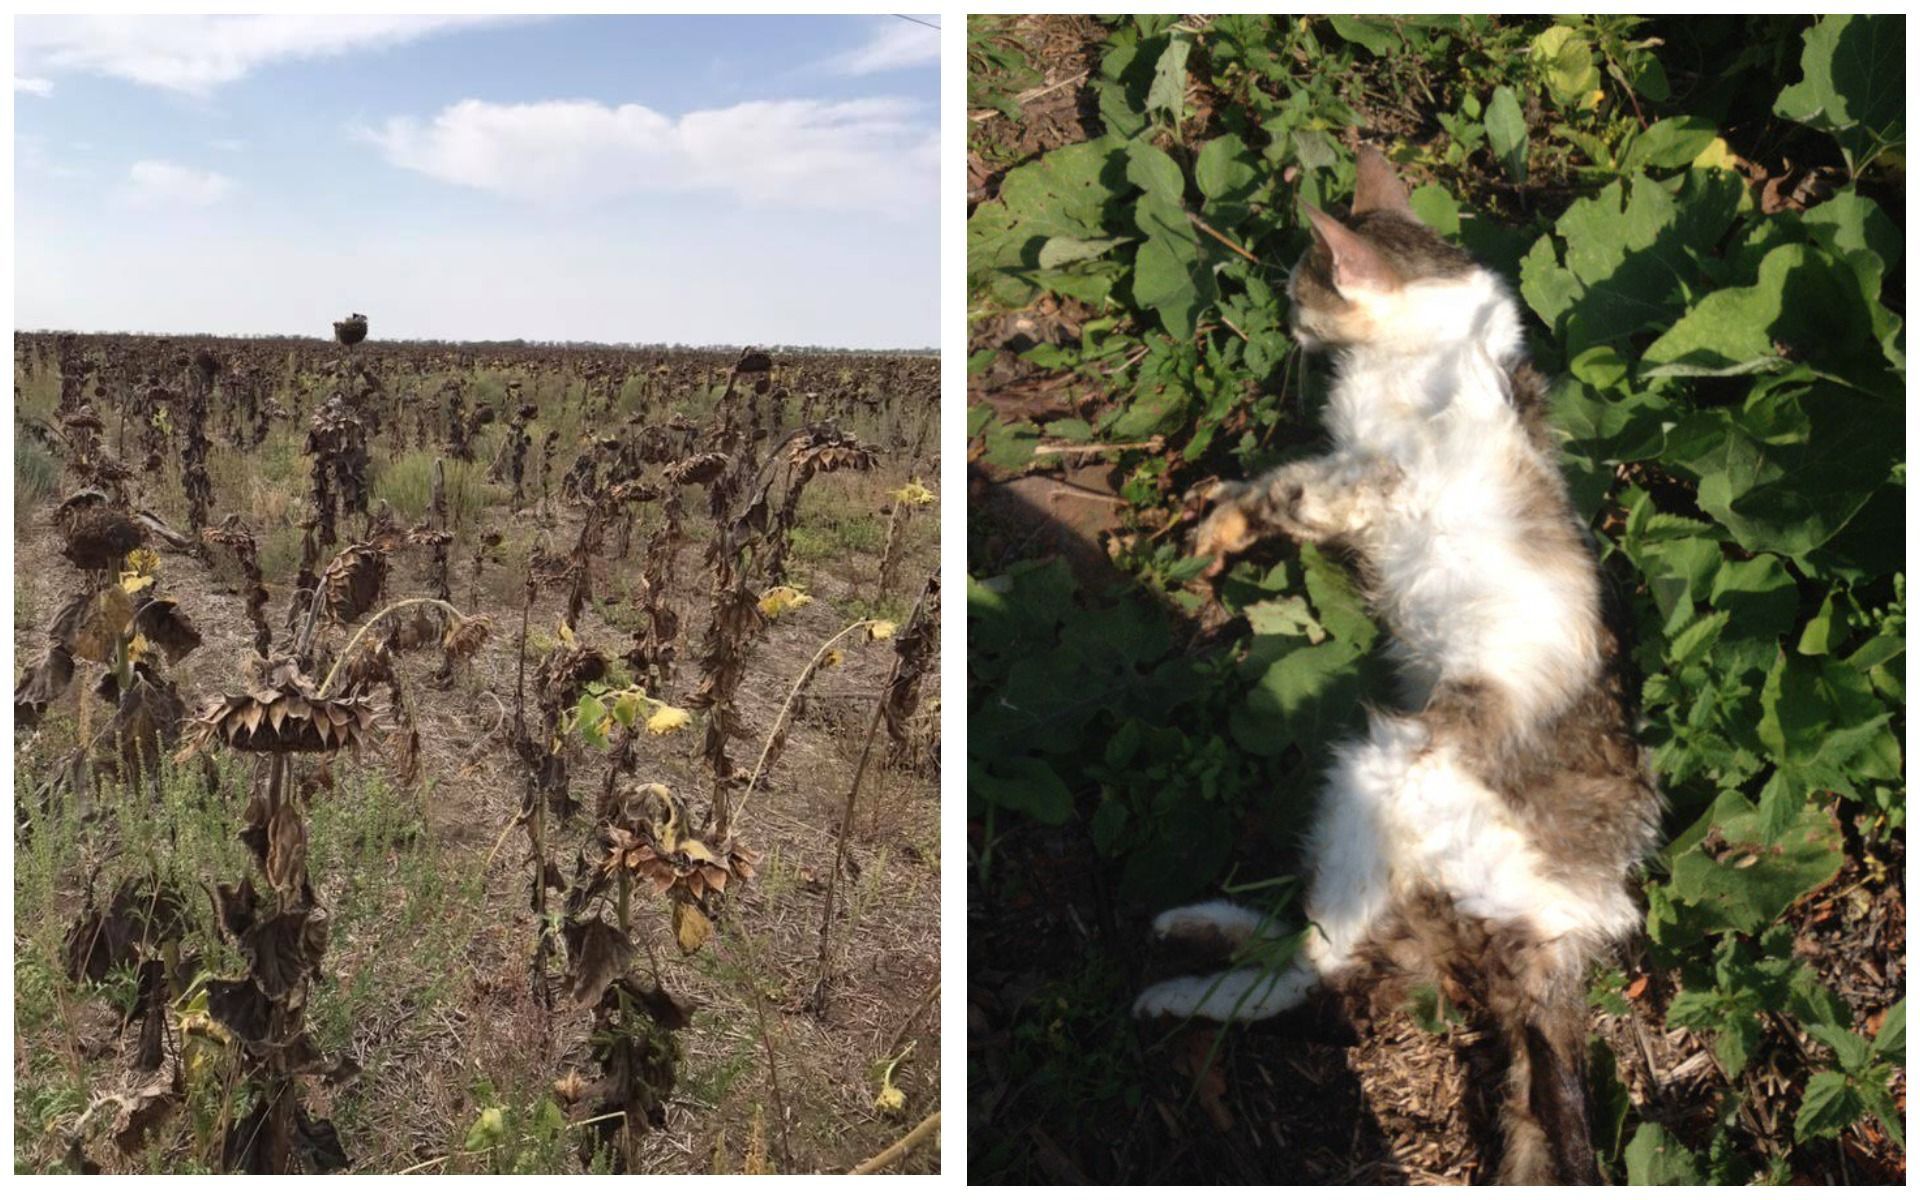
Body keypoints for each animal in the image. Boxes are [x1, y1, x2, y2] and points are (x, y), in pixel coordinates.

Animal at [1136, 144, 1666, 1182]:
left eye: (1303, 291)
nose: (1289, 324)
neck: (1447, 338)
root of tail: (1570, 926)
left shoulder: (1361, 479)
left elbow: (1278, 489)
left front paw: (1215, 527)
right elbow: (1271, 480)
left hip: (1382, 776)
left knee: (1323, 967)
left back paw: (1177, 988)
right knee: (1345, 954)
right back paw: (1195, 929)